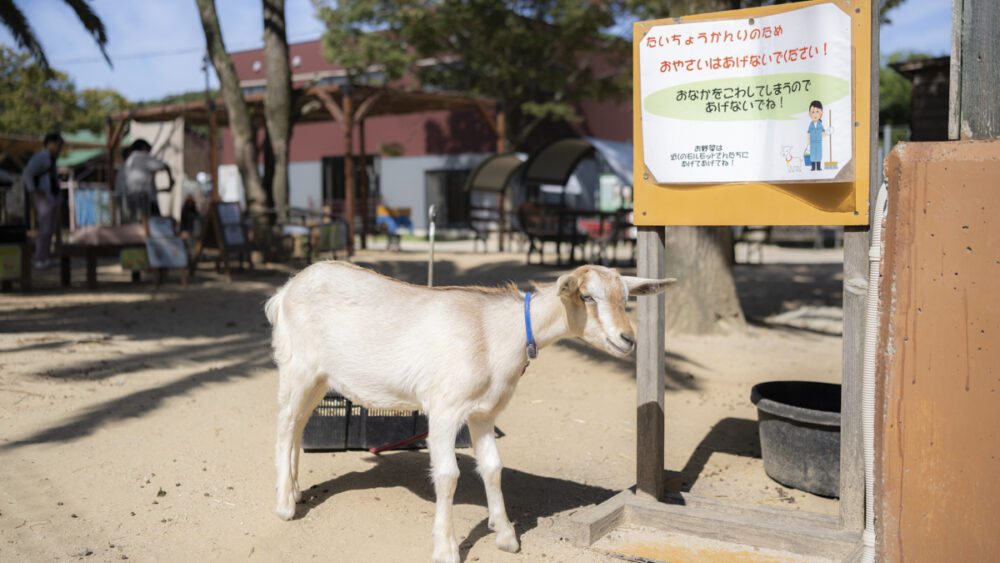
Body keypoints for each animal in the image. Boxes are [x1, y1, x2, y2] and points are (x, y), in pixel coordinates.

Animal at [264, 262, 672, 560]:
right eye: (586, 296)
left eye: (626, 298)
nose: (628, 340)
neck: (494, 334)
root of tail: (285, 292)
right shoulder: (445, 408)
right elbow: (448, 475)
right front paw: (445, 547)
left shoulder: (483, 414)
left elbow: (492, 468)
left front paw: (505, 535)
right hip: (298, 367)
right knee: (284, 424)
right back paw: (284, 505)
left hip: (320, 377)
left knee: (299, 424)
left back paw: (295, 491)